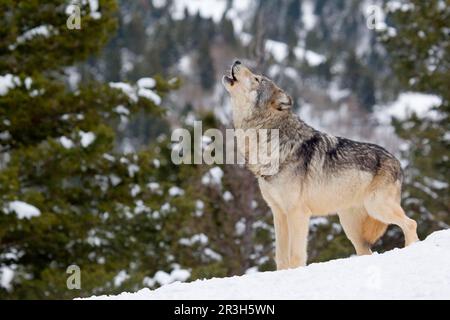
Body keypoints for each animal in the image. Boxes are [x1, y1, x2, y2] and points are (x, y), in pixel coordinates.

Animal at [221, 60, 418, 270]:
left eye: (257, 79)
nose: (237, 61)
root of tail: (397, 161)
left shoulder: (297, 213)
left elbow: (295, 256)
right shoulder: (278, 212)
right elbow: (280, 257)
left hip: (377, 207)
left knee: (411, 223)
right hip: (351, 227)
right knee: (367, 250)